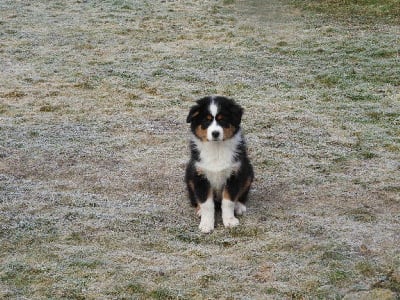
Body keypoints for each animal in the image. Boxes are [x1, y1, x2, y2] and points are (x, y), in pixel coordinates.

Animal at [184, 95, 253, 232]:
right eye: (206, 120)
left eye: (223, 120)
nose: (215, 133)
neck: (217, 148)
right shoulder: (200, 176)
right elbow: (206, 204)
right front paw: (206, 224)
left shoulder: (235, 174)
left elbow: (228, 201)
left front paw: (230, 221)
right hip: (189, 175)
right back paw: (199, 210)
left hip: (248, 171)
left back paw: (239, 206)